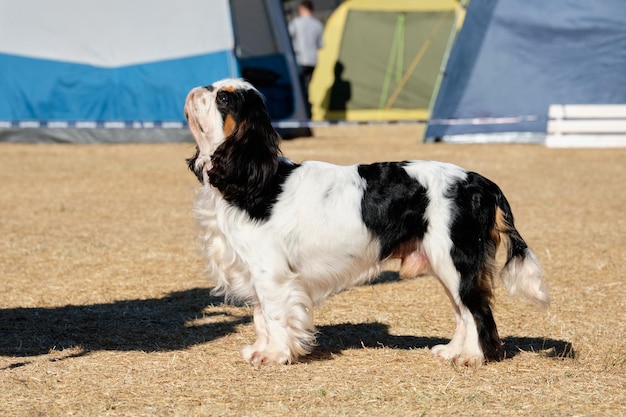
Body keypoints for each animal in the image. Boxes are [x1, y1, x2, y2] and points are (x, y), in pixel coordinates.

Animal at [184, 77, 544, 364]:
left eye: (224, 98)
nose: (198, 89)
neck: (255, 179)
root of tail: (480, 182)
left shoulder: (270, 273)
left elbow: (272, 315)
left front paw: (274, 355)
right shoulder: (256, 272)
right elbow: (260, 316)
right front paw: (262, 349)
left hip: (455, 260)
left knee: (477, 310)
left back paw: (473, 357)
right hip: (446, 265)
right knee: (463, 312)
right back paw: (454, 351)